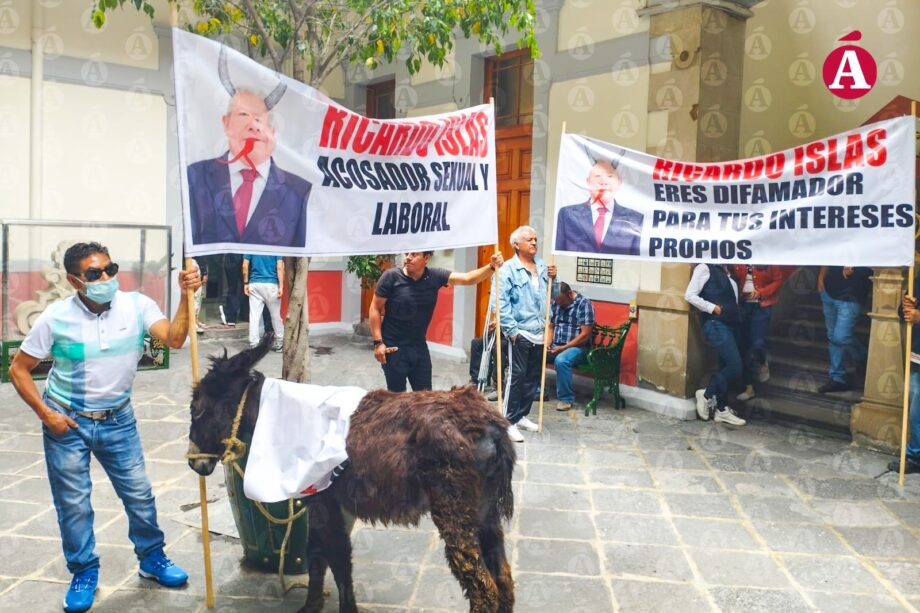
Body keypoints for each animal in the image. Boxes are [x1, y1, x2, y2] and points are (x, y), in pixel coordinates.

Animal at [186, 338, 517, 613]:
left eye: (197, 408)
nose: (194, 463)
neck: (283, 413)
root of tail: (491, 426)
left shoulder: (324, 500)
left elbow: (338, 559)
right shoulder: (319, 501)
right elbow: (318, 556)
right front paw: (311, 607)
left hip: (454, 508)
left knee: (483, 587)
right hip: (483, 510)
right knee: (503, 580)